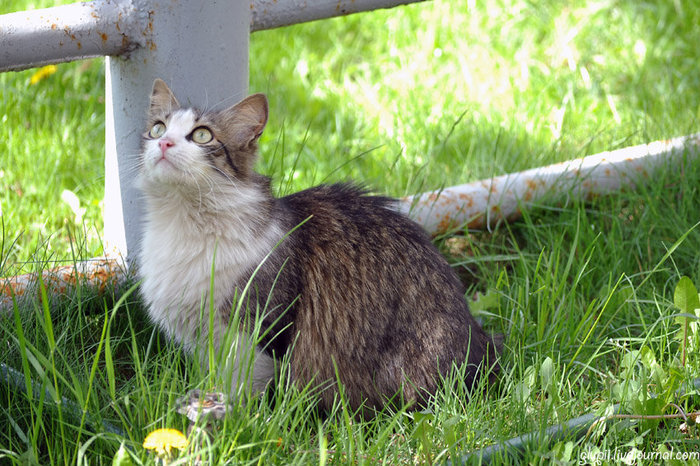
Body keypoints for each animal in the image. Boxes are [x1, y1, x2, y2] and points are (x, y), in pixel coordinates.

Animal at [137, 79, 498, 412]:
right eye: (157, 129)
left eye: (202, 136)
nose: (165, 143)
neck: (182, 223)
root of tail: (482, 346)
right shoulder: (203, 339)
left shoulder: (260, 329)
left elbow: (248, 390)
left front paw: (237, 419)